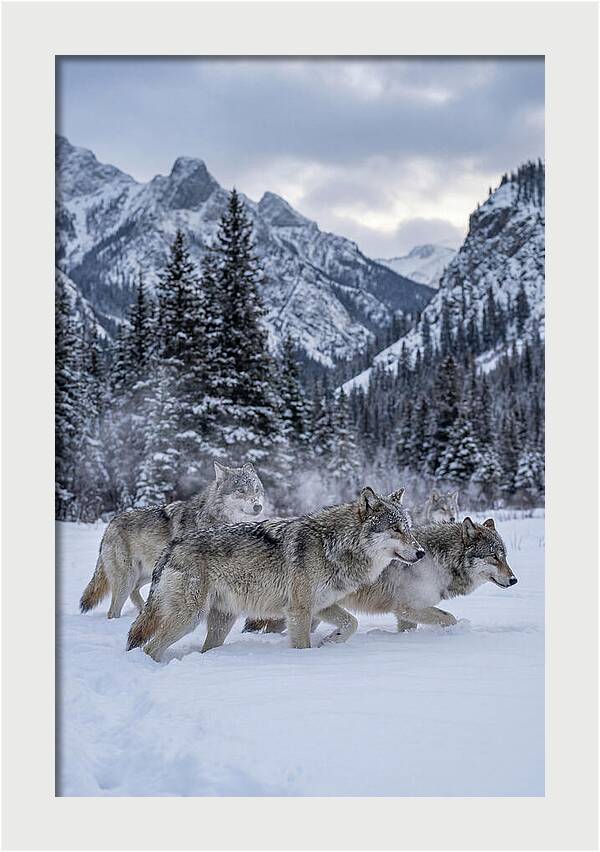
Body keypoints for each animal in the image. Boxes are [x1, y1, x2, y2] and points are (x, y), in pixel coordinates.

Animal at [80, 461, 264, 619]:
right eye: (241, 490)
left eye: (256, 489)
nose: (258, 506)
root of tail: (111, 523)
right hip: (128, 578)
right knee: (113, 611)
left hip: (148, 574)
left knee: (135, 593)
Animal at [126, 486, 425, 661]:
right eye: (395, 529)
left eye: (408, 528)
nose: (421, 552)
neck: (334, 544)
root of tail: (172, 546)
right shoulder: (299, 610)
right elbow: (303, 645)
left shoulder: (322, 606)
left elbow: (351, 622)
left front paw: (331, 641)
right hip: (189, 618)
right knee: (149, 647)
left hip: (221, 621)